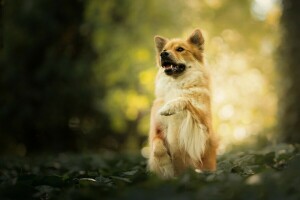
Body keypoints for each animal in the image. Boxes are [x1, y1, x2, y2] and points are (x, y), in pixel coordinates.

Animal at [148, 28, 218, 178]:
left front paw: (169, 107)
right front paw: (165, 166)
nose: (163, 54)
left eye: (180, 49)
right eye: (164, 50)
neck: (177, 84)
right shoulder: (156, 130)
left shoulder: (204, 129)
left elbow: (184, 99)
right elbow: (157, 146)